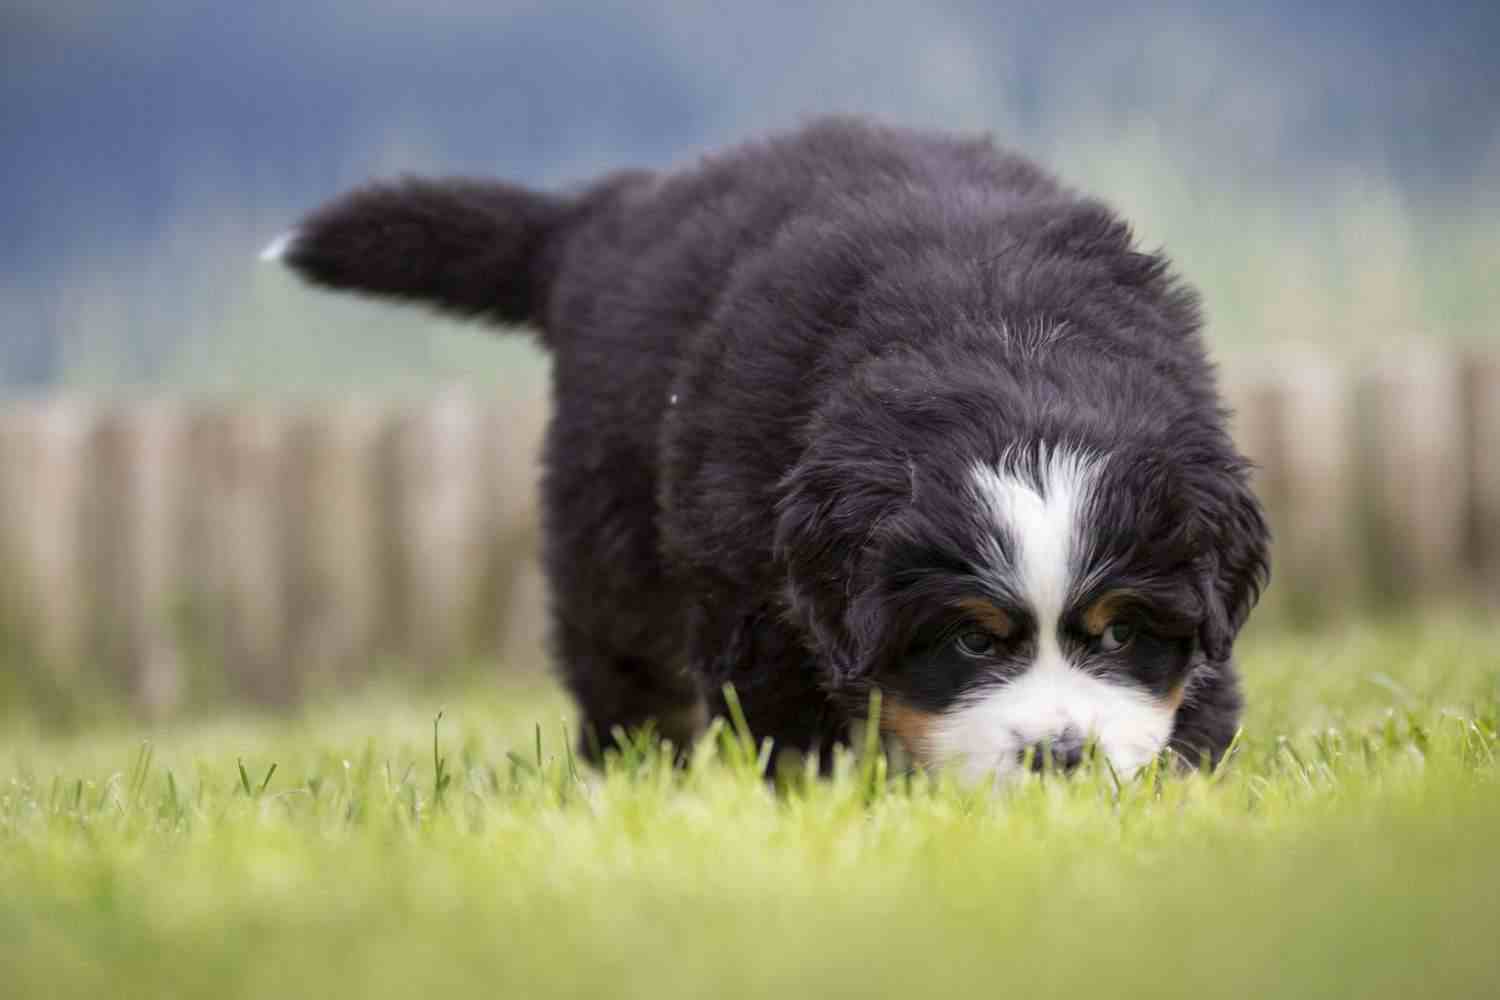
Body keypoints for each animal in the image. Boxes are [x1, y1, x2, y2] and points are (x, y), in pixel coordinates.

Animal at [266, 118, 1270, 780]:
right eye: (971, 642)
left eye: (1125, 631)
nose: (1062, 757)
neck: (1003, 346)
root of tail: (615, 207)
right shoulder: (759, 594)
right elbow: (792, 728)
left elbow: (1193, 710)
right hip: (612, 544)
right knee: (630, 686)